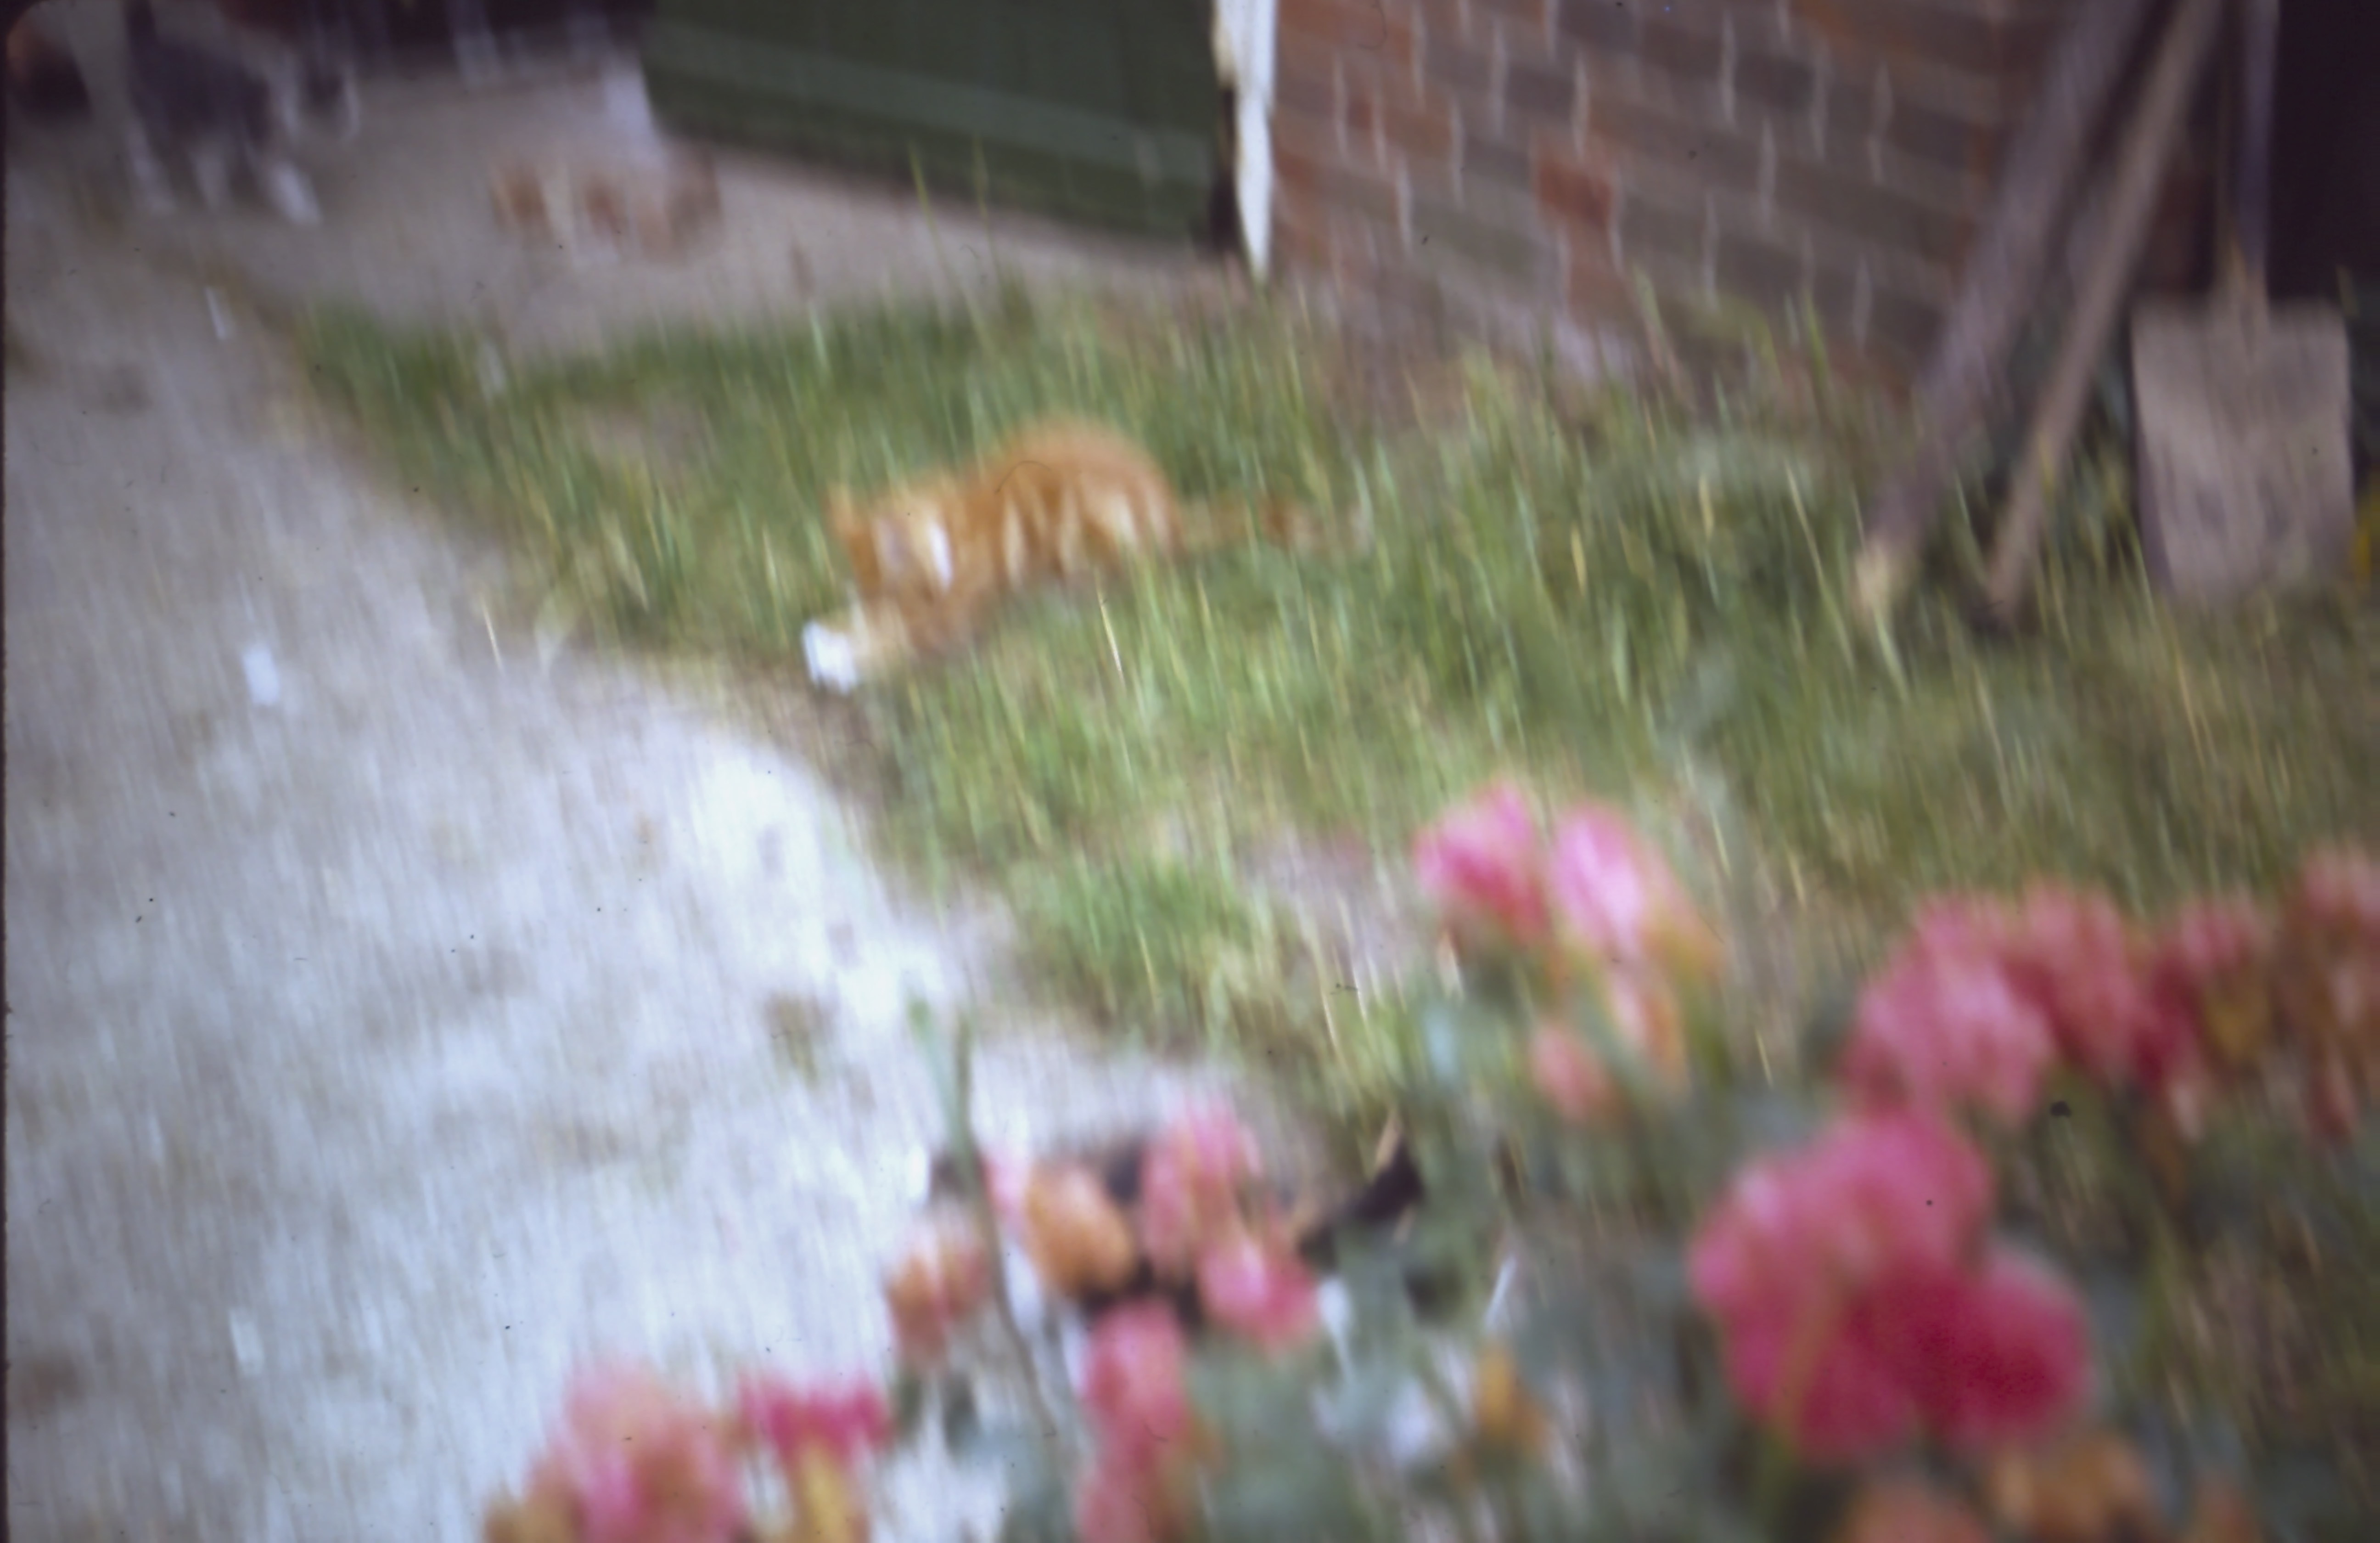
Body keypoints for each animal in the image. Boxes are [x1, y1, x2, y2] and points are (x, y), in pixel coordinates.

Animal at [120, 0, 360, 226]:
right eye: (338, 102)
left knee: (197, 150)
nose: (352, 126)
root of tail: (148, 40)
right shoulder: (262, 145)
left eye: (346, 102)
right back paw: (159, 199)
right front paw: (303, 211)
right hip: (156, 121)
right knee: (143, 157)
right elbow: (286, 181)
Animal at [800, 417, 1361, 694]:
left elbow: (896, 644)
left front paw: (842, 658)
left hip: (1097, 528)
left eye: (886, 597)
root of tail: (1175, 512)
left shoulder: (949, 623)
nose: (871, 608)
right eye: (864, 596)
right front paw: (829, 634)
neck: (947, 533)